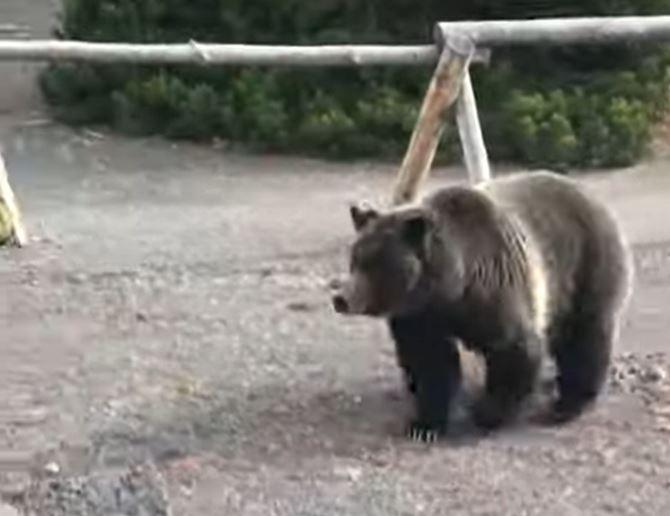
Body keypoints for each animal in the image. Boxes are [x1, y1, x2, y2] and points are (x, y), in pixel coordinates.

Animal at [331, 170, 633, 442]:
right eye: (355, 258)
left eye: (376, 263)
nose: (341, 297)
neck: (449, 287)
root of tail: (592, 196)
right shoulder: (420, 315)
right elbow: (430, 361)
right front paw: (424, 425)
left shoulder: (496, 287)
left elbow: (514, 349)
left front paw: (486, 414)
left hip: (584, 266)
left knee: (585, 335)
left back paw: (567, 405)